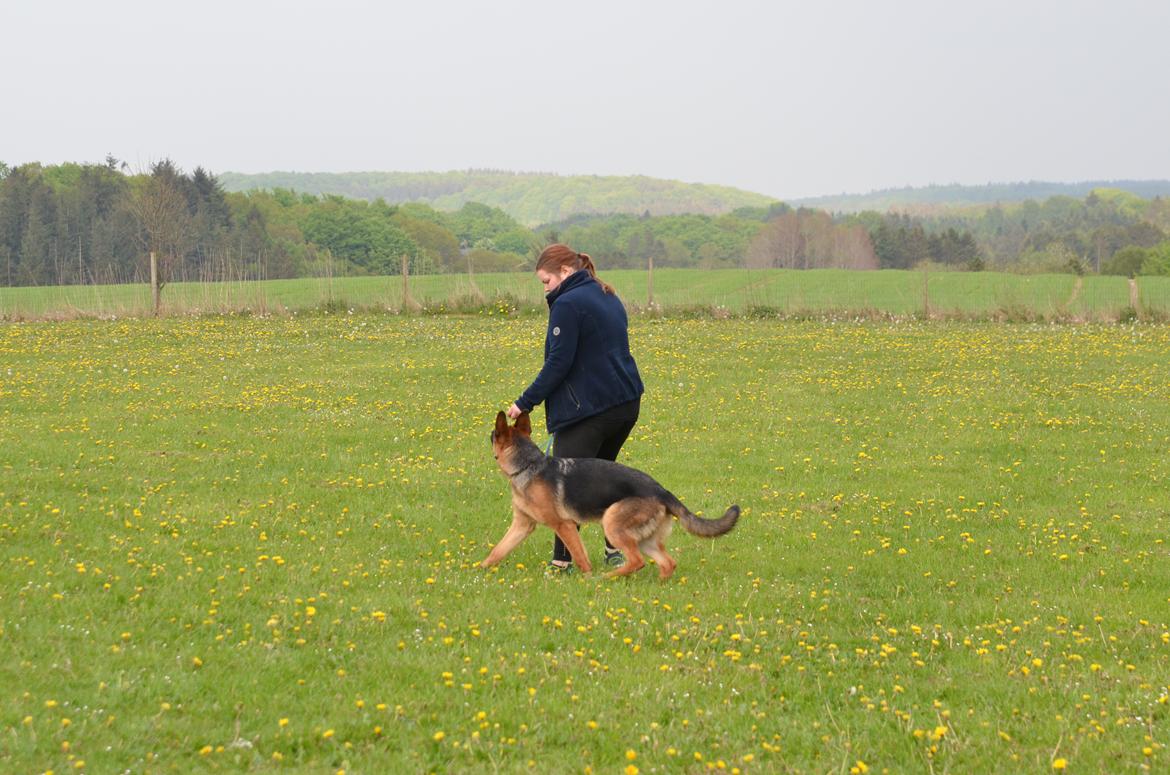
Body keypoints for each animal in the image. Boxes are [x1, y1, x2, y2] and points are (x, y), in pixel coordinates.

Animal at [482, 416, 739, 580]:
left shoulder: (564, 525)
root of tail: (661, 490)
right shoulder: (522, 525)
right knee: (667, 562)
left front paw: (586, 578)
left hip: (612, 522)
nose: (489, 433)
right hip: (643, 538)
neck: (528, 465)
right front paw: (480, 569)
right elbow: (498, 550)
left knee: (636, 561)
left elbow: (579, 557)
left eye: (494, 435)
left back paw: (606, 578)